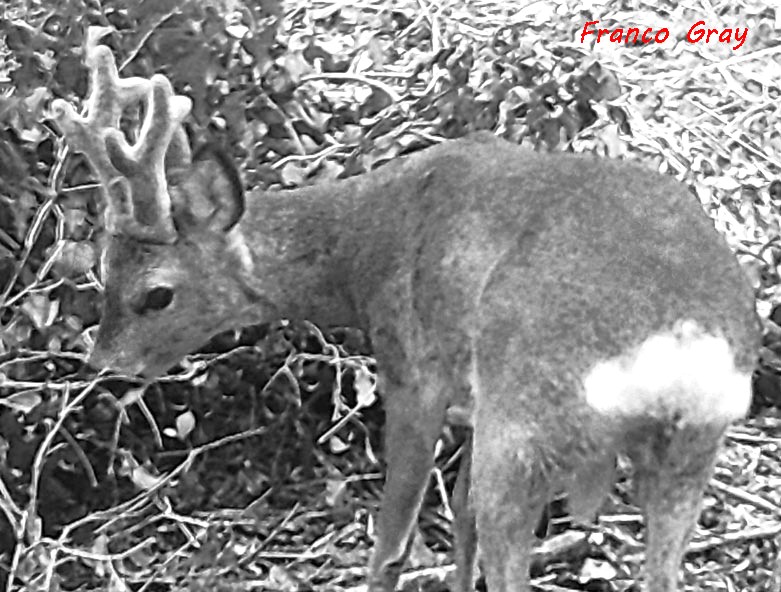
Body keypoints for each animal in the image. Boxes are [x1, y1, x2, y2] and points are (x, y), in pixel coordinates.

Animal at [51, 37, 760, 592]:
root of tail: (678, 346)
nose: (104, 368)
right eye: (103, 271)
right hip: (687, 452)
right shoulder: (473, 405)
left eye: (157, 294)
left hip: (528, 417)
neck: (367, 247)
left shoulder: (415, 372)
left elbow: (391, 543)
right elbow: (461, 526)